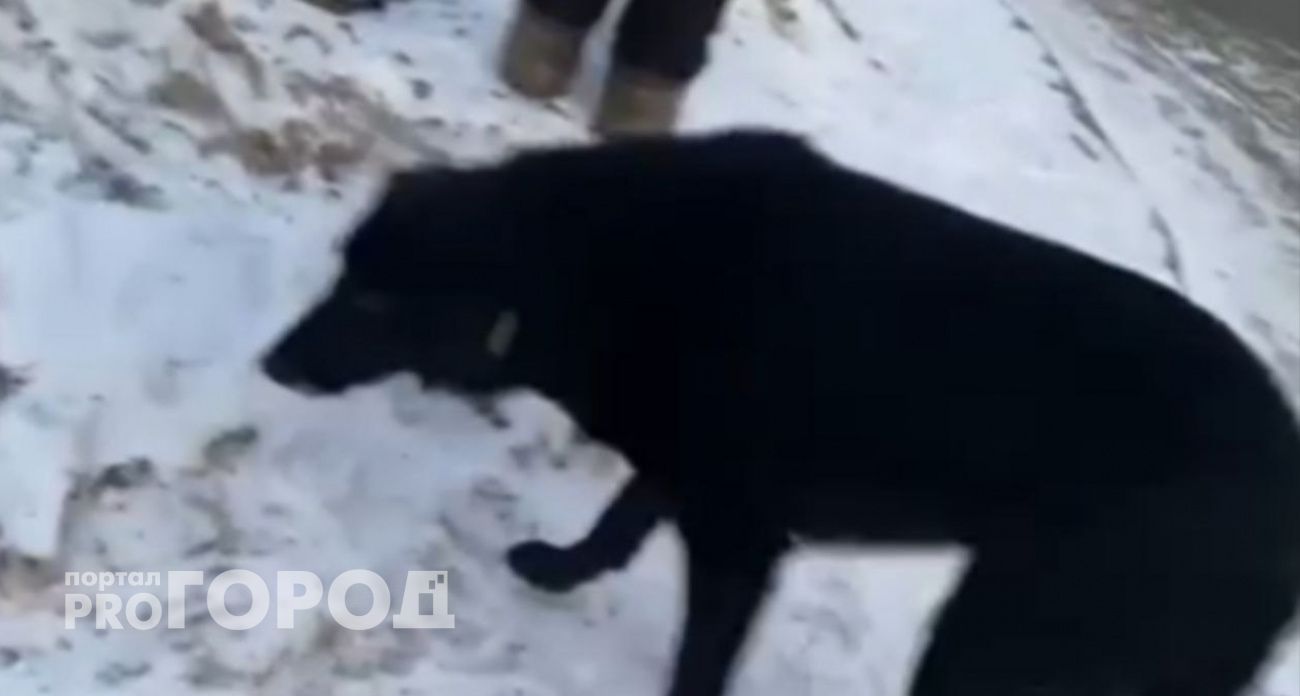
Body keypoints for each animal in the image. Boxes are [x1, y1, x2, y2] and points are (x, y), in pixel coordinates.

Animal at [263, 132, 1300, 696]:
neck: (607, 268)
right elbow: (620, 521)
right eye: (343, 273)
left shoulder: (741, 535)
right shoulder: (692, 473)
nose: (271, 365)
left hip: (998, 636)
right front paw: (558, 569)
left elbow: (699, 658)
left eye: (375, 303)